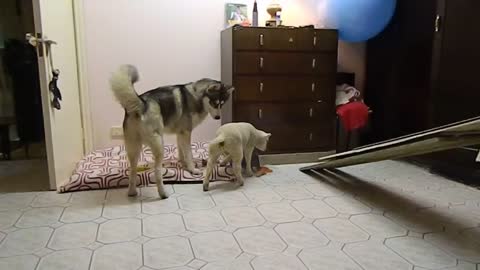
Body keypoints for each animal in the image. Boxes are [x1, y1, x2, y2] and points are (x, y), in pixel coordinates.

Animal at [110, 64, 234, 197]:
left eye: (222, 104)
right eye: (214, 103)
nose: (218, 117)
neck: (196, 96)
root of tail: (142, 104)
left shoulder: (180, 133)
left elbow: (182, 152)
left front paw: (183, 165)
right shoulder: (186, 132)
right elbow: (189, 154)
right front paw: (193, 169)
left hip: (134, 148)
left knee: (132, 170)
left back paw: (132, 192)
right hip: (159, 145)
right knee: (157, 171)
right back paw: (163, 193)